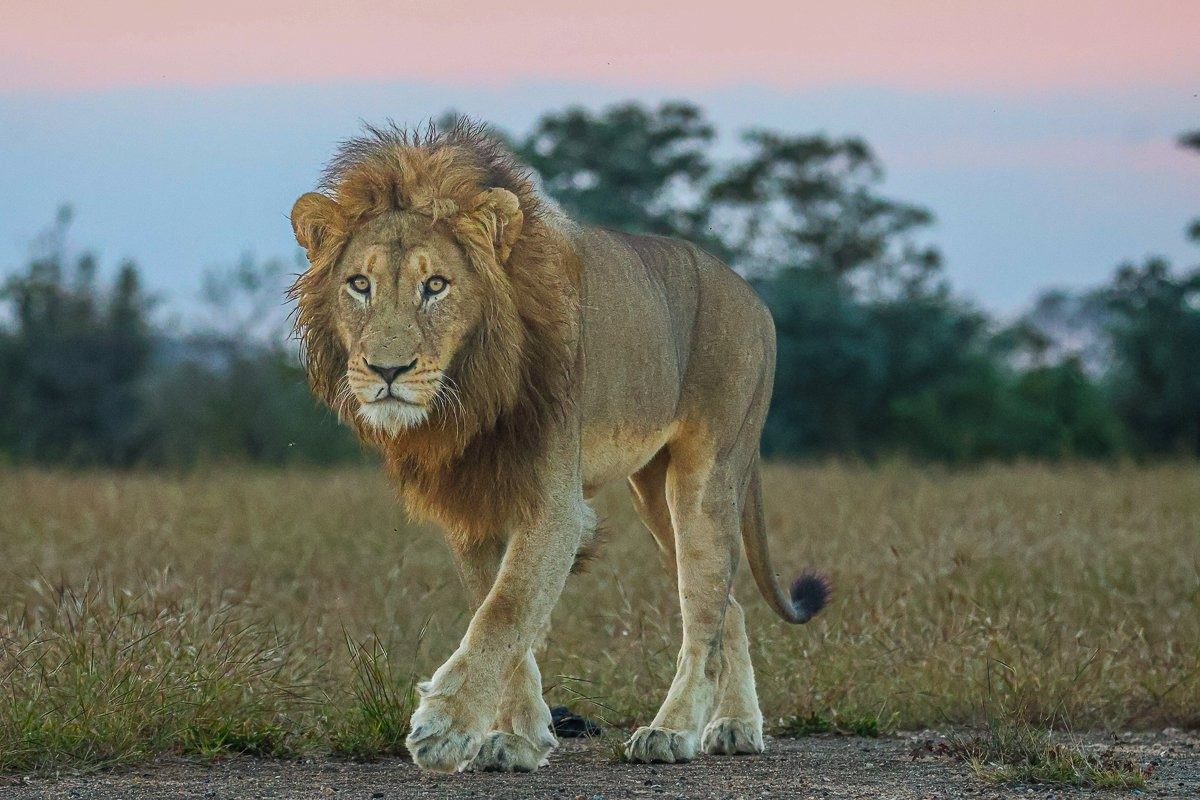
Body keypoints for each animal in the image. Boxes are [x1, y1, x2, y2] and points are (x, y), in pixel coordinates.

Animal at [288, 120, 828, 773]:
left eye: (435, 285)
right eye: (359, 285)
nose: (386, 371)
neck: (474, 393)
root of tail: (751, 292)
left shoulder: (554, 504)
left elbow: (506, 608)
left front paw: (446, 725)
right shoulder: (473, 503)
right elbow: (499, 609)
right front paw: (521, 737)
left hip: (706, 478)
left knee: (704, 610)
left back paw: (671, 732)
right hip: (654, 493)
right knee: (731, 606)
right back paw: (736, 727)